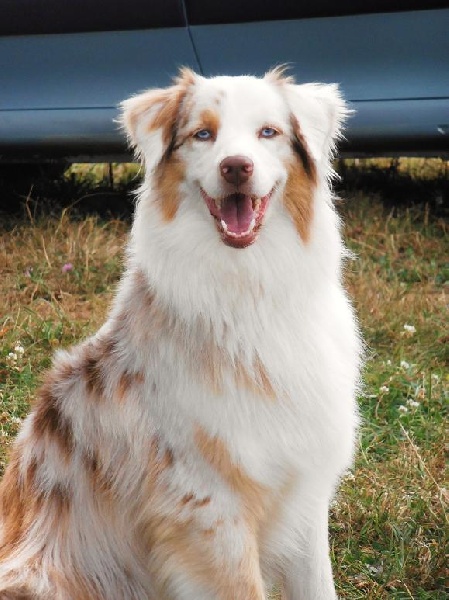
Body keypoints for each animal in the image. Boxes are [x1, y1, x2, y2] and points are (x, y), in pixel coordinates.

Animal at [0, 68, 360, 596]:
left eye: (268, 132)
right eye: (203, 134)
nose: (236, 167)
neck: (249, 287)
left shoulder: (304, 489)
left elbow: (318, 585)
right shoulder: (208, 507)